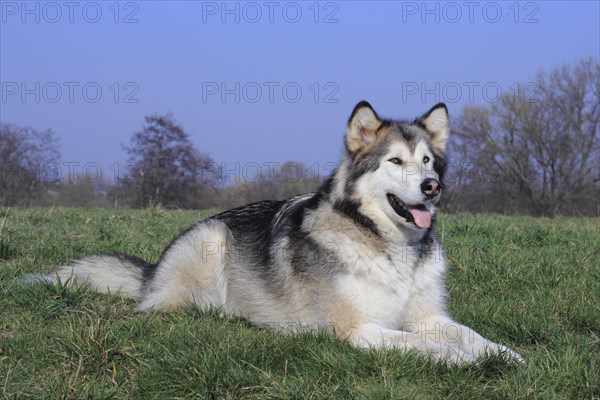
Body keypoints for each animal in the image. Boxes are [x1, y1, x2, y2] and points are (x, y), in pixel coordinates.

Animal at [25, 101, 524, 364]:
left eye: (426, 161)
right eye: (395, 161)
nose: (431, 186)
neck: (391, 247)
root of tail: (153, 270)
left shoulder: (429, 316)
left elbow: (472, 336)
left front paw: (505, 356)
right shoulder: (359, 330)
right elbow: (425, 345)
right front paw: (466, 363)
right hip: (210, 240)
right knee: (177, 306)